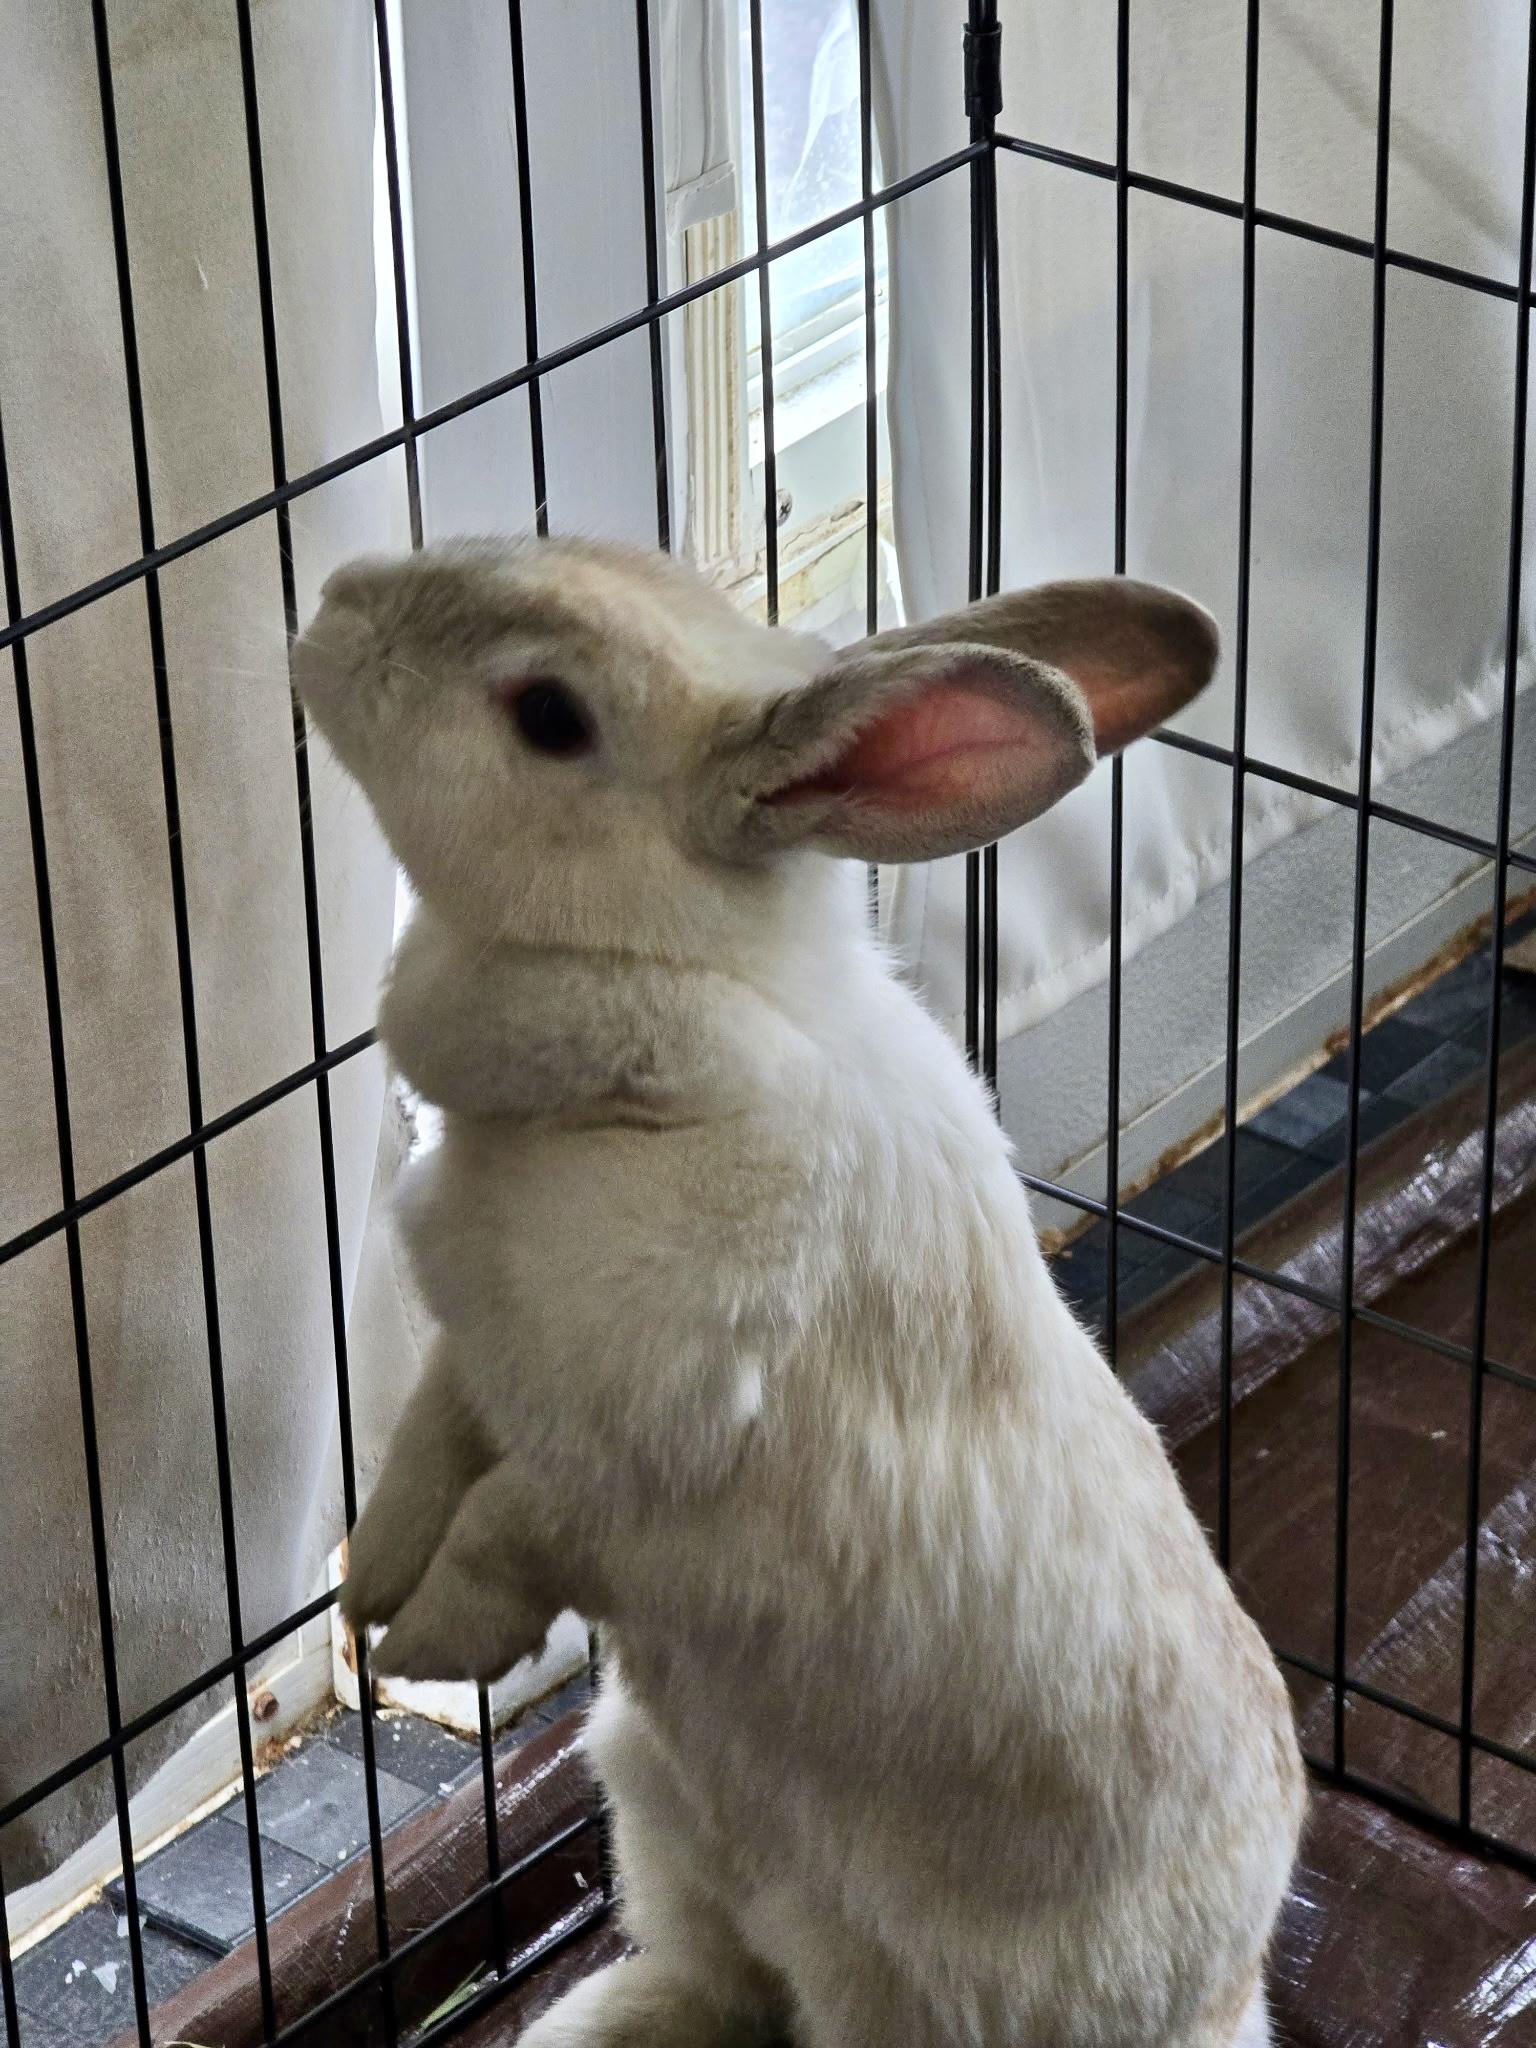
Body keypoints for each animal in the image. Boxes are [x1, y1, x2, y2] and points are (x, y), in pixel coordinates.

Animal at [294, 537, 1305, 2048]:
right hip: (650, 1789)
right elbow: (423, 1463)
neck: (668, 1043)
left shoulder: (638, 1455)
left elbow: (510, 1528)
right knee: (711, 1979)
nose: (332, 602)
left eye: (549, 716)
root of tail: (1233, 1992)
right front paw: (368, 1600)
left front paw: (427, 1636)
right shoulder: (480, 1363)